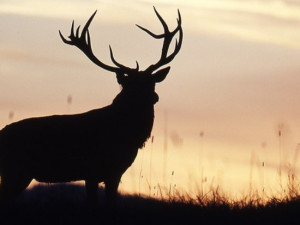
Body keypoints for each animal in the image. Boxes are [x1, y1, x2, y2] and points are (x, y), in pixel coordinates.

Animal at [0, 7, 183, 204]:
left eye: (152, 82)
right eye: (131, 84)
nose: (154, 97)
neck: (126, 136)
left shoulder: (115, 173)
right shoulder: (92, 170)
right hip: (15, 170)